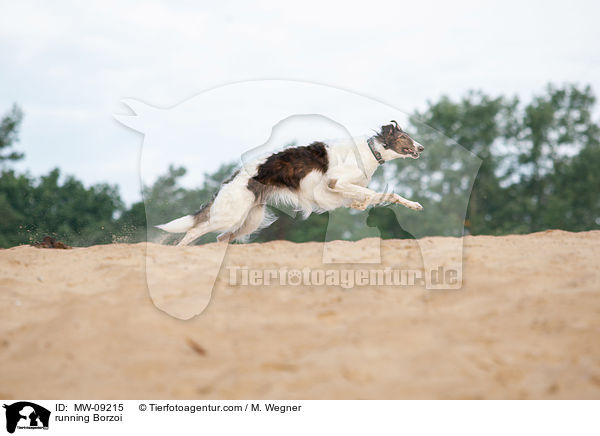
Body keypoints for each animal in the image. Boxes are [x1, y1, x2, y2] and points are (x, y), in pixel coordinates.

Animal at [157, 121, 424, 245]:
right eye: (404, 137)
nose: (421, 147)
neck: (369, 151)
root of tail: (233, 178)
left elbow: (383, 196)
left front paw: (413, 205)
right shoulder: (335, 183)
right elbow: (372, 194)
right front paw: (364, 203)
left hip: (249, 220)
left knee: (221, 238)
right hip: (229, 216)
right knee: (193, 231)